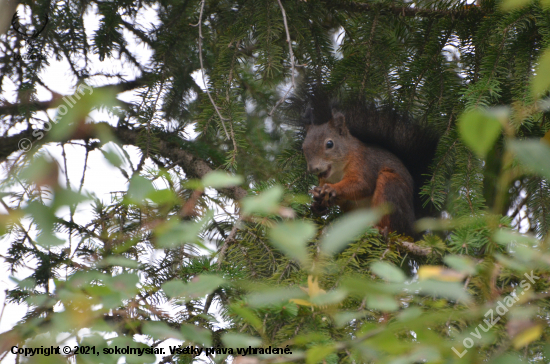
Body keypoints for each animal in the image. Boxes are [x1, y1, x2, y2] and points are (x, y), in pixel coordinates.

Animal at [302, 96, 440, 236]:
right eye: (303, 147)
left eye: (330, 144)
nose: (313, 168)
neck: (337, 172)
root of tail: (413, 226)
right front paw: (318, 201)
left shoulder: (364, 163)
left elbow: (362, 184)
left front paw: (332, 189)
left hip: (390, 188)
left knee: (393, 226)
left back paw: (380, 229)